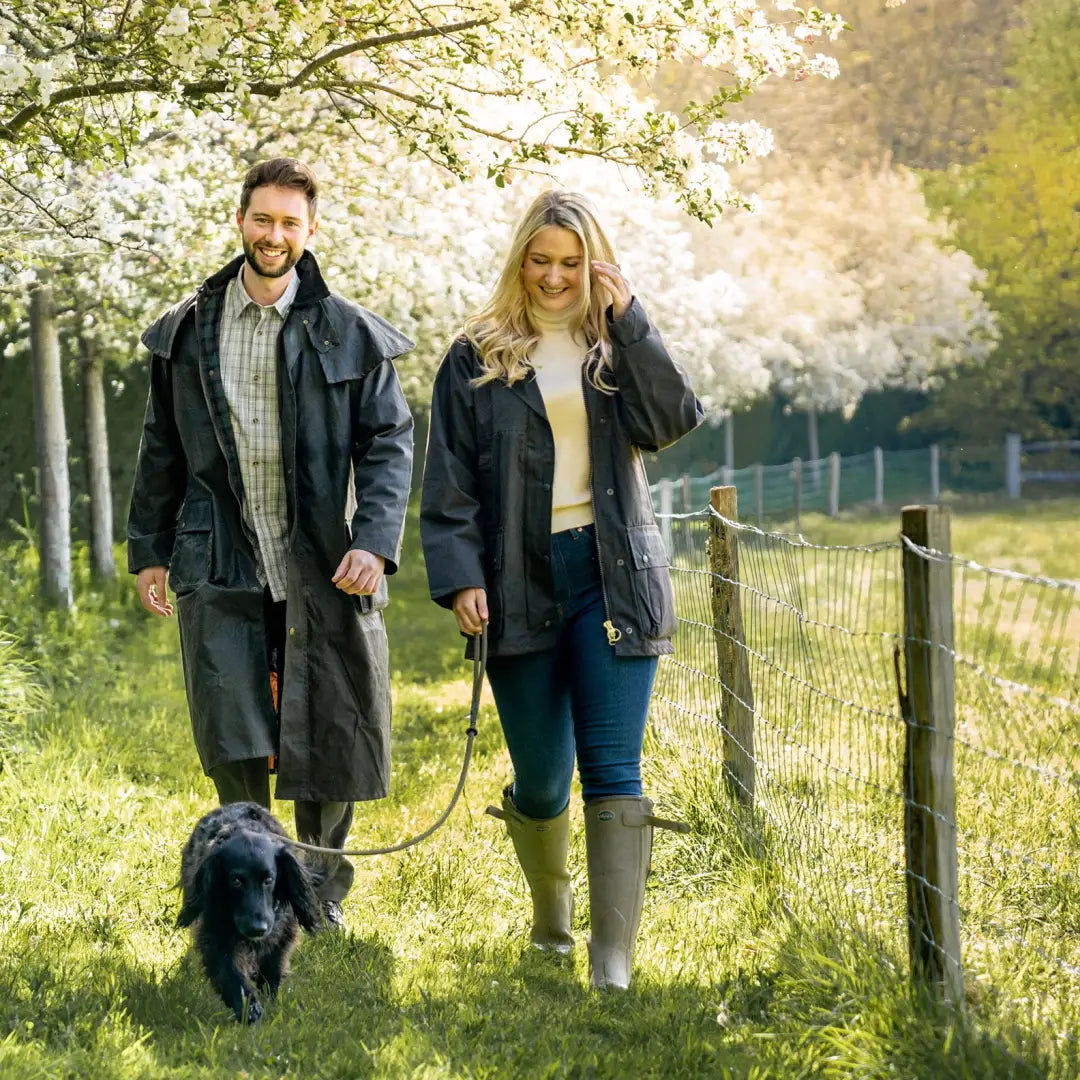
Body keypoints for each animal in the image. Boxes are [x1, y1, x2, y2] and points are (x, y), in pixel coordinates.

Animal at [176, 803, 319, 1019]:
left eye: (269, 879)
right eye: (236, 880)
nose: (257, 929)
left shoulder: (282, 936)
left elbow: (272, 971)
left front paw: (270, 1002)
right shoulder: (216, 938)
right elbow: (232, 977)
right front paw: (250, 1010)